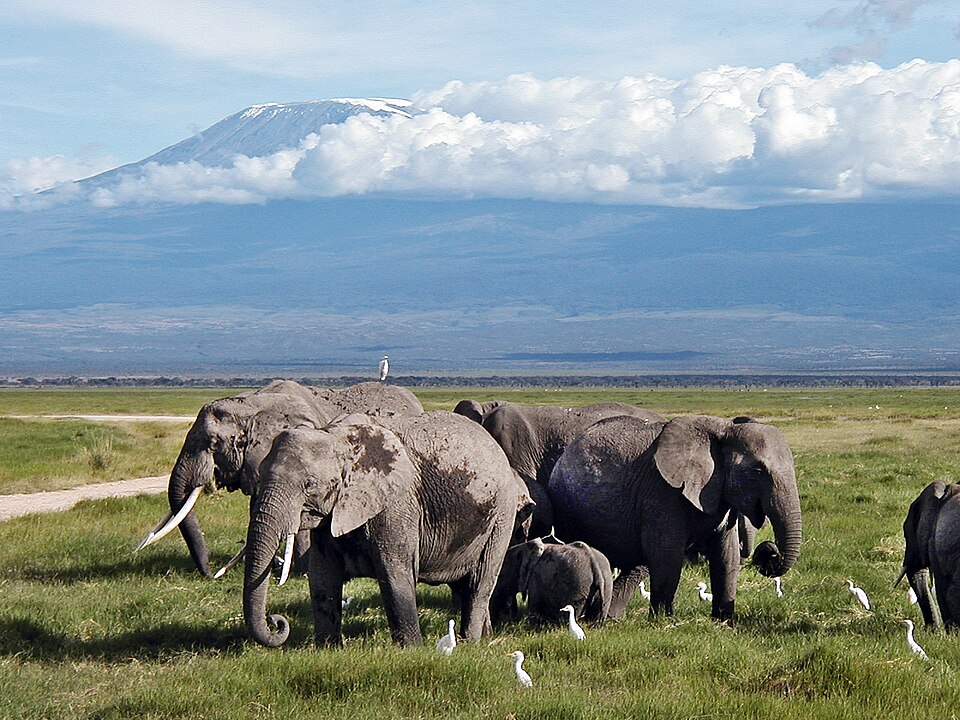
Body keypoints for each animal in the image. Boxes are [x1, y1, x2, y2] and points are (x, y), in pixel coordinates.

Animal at [242, 410, 522, 648]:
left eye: (309, 484)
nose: (276, 621)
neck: (338, 438)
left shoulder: (396, 505)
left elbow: (394, 574)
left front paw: (411, 651)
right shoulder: (330, 516)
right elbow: (322, 577)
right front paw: (329, 649)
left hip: (501, 516)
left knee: (479, 584)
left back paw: (470, 643)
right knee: (463, 586)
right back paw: (486, 639)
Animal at [547, 414, 802, 620]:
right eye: (757, 471)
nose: (769, 552)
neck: (724, 429)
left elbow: (726, 554)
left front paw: (724, 621)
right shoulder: (662, 493)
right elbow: (667, 556)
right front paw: (663, 621)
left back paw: (610, 618)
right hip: (568, 507)